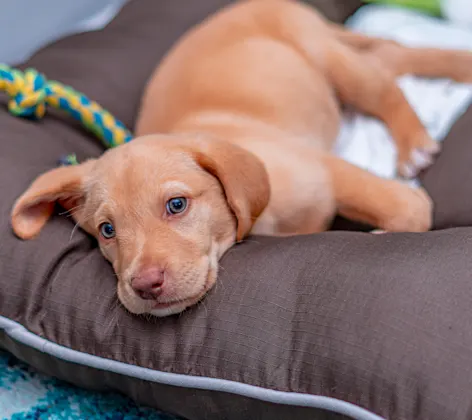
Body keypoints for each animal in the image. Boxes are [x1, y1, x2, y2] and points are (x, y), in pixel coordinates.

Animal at [9, 0, 472, 316]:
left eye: (176, 205)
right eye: (107, 230)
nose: (145, 285)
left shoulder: (330, 173)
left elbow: (408, 210)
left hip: (331, 59)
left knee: (387, 80)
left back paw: (414, 142)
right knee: (391, 56)